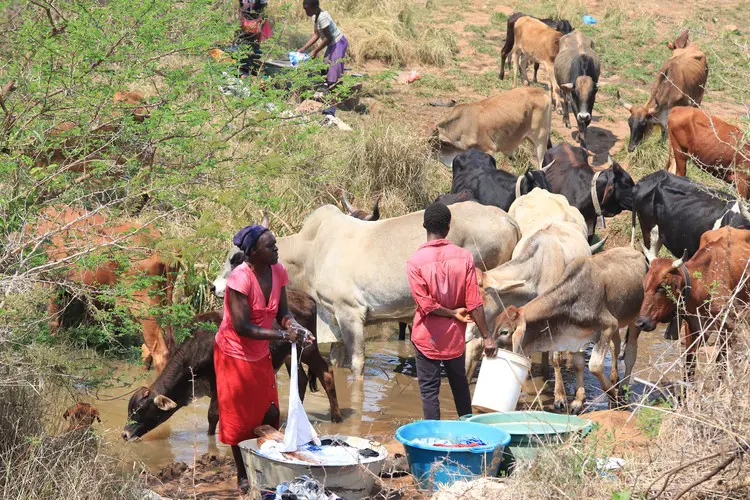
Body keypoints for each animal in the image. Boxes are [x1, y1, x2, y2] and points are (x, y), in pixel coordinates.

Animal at [122, 290, 342, 443]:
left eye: (139, 411)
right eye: (130, 410)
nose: (125, 434)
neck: (198, 347)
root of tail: (307, 297)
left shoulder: (218, 385)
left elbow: (213, 416)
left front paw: (211, 438)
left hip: (310, 348)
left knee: (326, 373)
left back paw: (336, 417)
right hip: (290, 355)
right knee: (302, 380)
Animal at [212, 202, 521, 377]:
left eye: (236, 258)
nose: (215, 287)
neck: (312, 250)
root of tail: (507, 218)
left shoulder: (350, 312)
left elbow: (357, 362)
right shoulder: (332, 316)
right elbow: (337, 359)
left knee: (476, 345)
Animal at [494, 247, 647, 406]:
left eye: (504, 332)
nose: (489, 349)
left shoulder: (609, 324)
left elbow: (595, 366)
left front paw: (612, 395)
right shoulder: (577, 334)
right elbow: (578, 363)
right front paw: (578, 400)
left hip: (635, 320)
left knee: (630, 354)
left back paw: (623, 390)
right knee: (615, 347)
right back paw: (615, 378)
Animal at [636, 227, 750, 380]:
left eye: (662, 287)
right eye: (644, 285)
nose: (641, 322)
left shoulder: (729, 329)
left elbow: (721, 366)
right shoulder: (692, 329)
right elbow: (689, 367)